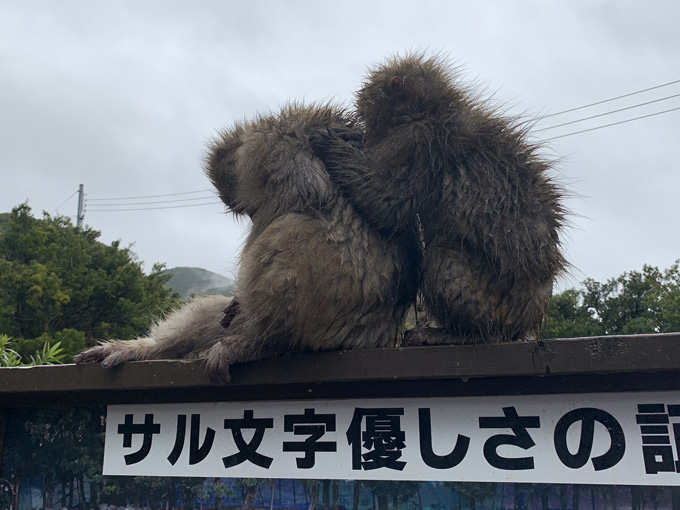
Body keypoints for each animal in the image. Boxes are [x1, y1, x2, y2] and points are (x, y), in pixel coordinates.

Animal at [74, 104, 421, 381]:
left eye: (249, 210)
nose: (253, 216)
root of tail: (381, 334)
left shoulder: (269, 150)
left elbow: (304, 201)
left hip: (335, 323)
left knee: (293, 229)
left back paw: (265, 343)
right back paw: (149, 349)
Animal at [313, 54, 567, 343]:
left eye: (368, 117)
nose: (366, 137)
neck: (432, 111)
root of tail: (530, 320)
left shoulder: (417, 142)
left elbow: (386, 204)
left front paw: (331, 143)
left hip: (499, 304)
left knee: (444, 253)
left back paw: (468, 334)